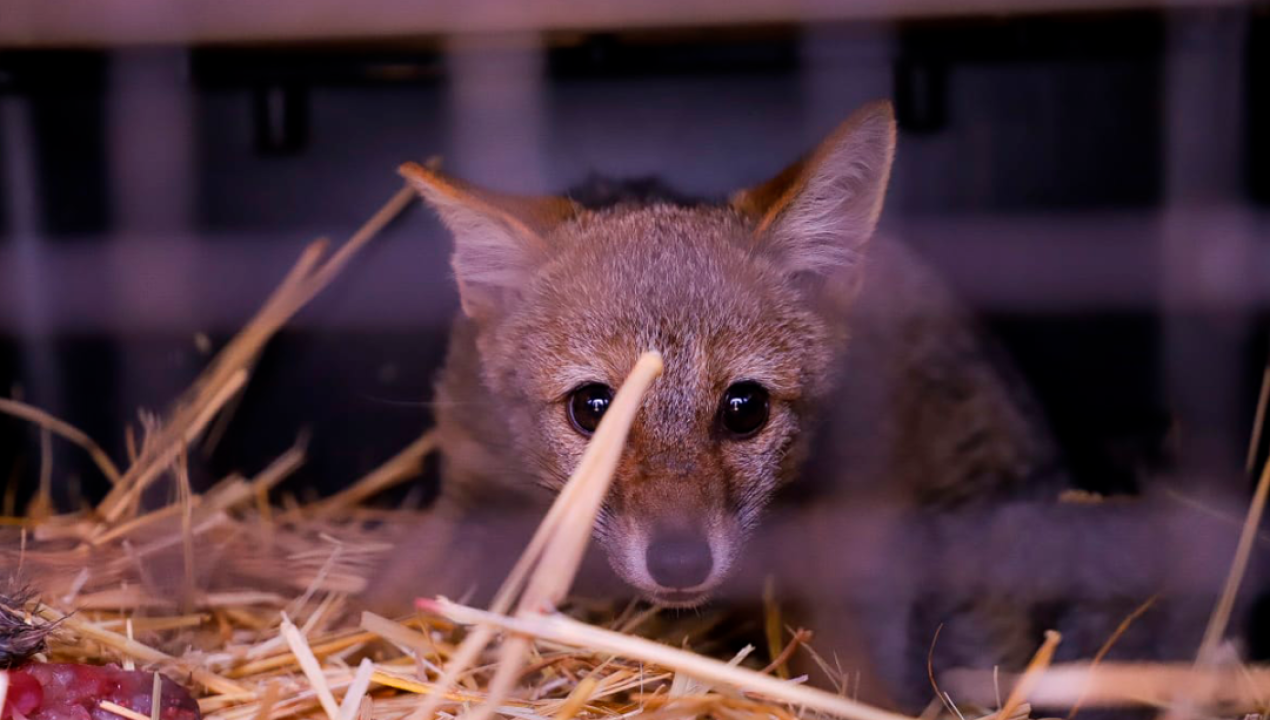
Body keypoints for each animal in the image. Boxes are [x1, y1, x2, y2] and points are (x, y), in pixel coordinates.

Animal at [363, 101, 1234, 711]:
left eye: (744, 407)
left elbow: (858, 679)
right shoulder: (471, 489)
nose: (680, 563)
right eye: (593, 408)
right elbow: (384, 598)